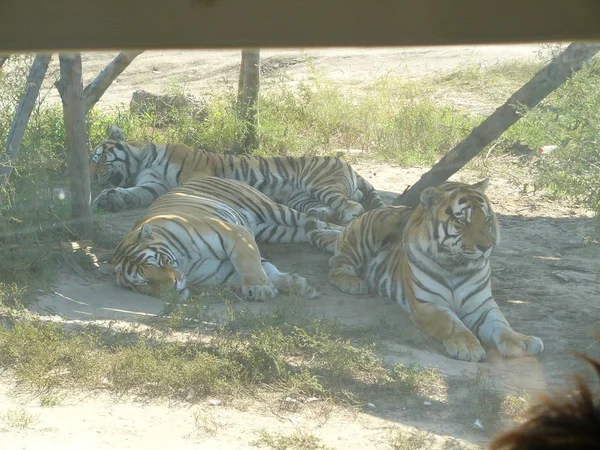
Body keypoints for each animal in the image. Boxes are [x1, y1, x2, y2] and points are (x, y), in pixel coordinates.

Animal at [89, 125, 384, 223]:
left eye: (100, 157)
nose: (93, 178)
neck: (141, 161)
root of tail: (350, 167)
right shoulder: (152, 184)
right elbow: (134, 193)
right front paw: (112, 198)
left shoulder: (197, 175)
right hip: (300, 196)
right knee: (327, 206)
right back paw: (319, 214)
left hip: (321, 184)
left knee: (353, 205)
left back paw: (347, 217)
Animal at [112, 176, 342, 302]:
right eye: (144, 283)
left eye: (160, 261)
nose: (173, 286)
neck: (186, 263)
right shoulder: (222, 271)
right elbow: (268, 271)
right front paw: (301, 286)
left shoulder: (234, 233)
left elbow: (250, 264)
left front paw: (259, 289)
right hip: (274, 230)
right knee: (306, 230)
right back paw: (332, 243)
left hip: (273, 210)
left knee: (320, 223)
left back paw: (339, 237)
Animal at [304, 178, 544, 362]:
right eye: (461, 220)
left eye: (485, 218)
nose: (486, 246)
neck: (457, 265)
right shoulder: (428, 304)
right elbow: (453, 324)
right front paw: (468, 347)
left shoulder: (482, 305)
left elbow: (502, 325)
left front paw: (522, 341)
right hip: (367, 233)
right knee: (336, 264)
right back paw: (352, 282)